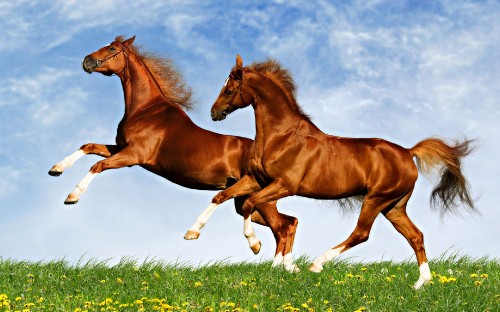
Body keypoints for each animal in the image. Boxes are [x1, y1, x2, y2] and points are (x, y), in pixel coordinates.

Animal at [47, 37, 296, 266]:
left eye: (112, 49)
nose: (86, 61)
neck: (146, 110)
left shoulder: (133, 156)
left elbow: (97, 165)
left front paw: (72, 196)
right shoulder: (120, 148)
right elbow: (88, 147)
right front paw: (56, 168)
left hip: (259, 199)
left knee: (283, 227)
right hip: (245, 200)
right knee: (289, 222)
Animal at [192, 54, 476, 288]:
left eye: (229, 89)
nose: (214, 112)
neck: (281, 137)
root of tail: (408, 152)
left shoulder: (284, 185)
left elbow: (251, 204)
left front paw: (255, 245)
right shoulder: (256, 180)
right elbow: (221, 196)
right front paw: (192, 233)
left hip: (376, 199)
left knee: (361, 233)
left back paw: (317, 263)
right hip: (394, 206)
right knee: (416, 236)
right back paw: (421, 283)